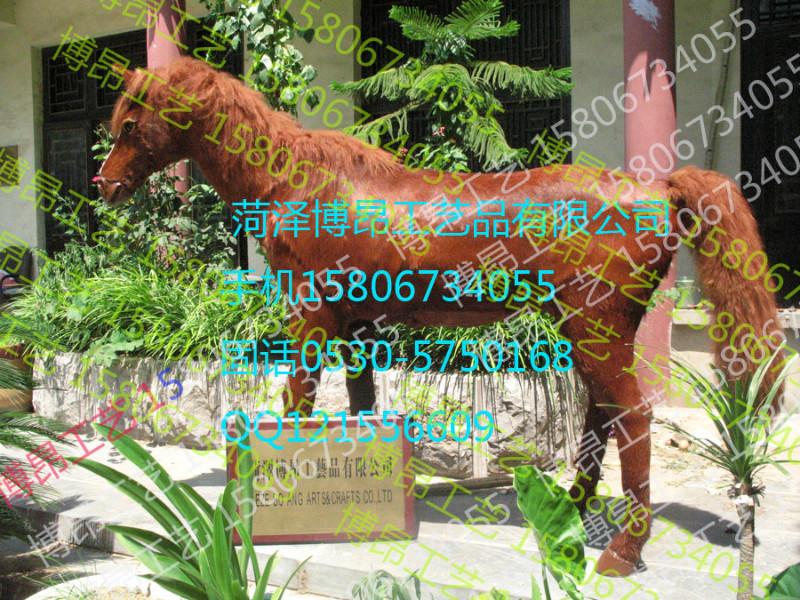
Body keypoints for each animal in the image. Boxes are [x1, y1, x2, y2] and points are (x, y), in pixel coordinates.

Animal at [94, 57, 784, 577]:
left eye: (130, 122)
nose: (104, 185)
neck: (297, 183)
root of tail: (657, 189)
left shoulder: (313, 315)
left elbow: (296, 403)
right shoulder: (357, 323)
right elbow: (361, 404)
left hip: (595, 323)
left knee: (633, 415)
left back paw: (621, 551)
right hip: (588, 326)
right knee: (601, 410)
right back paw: (569, 511)